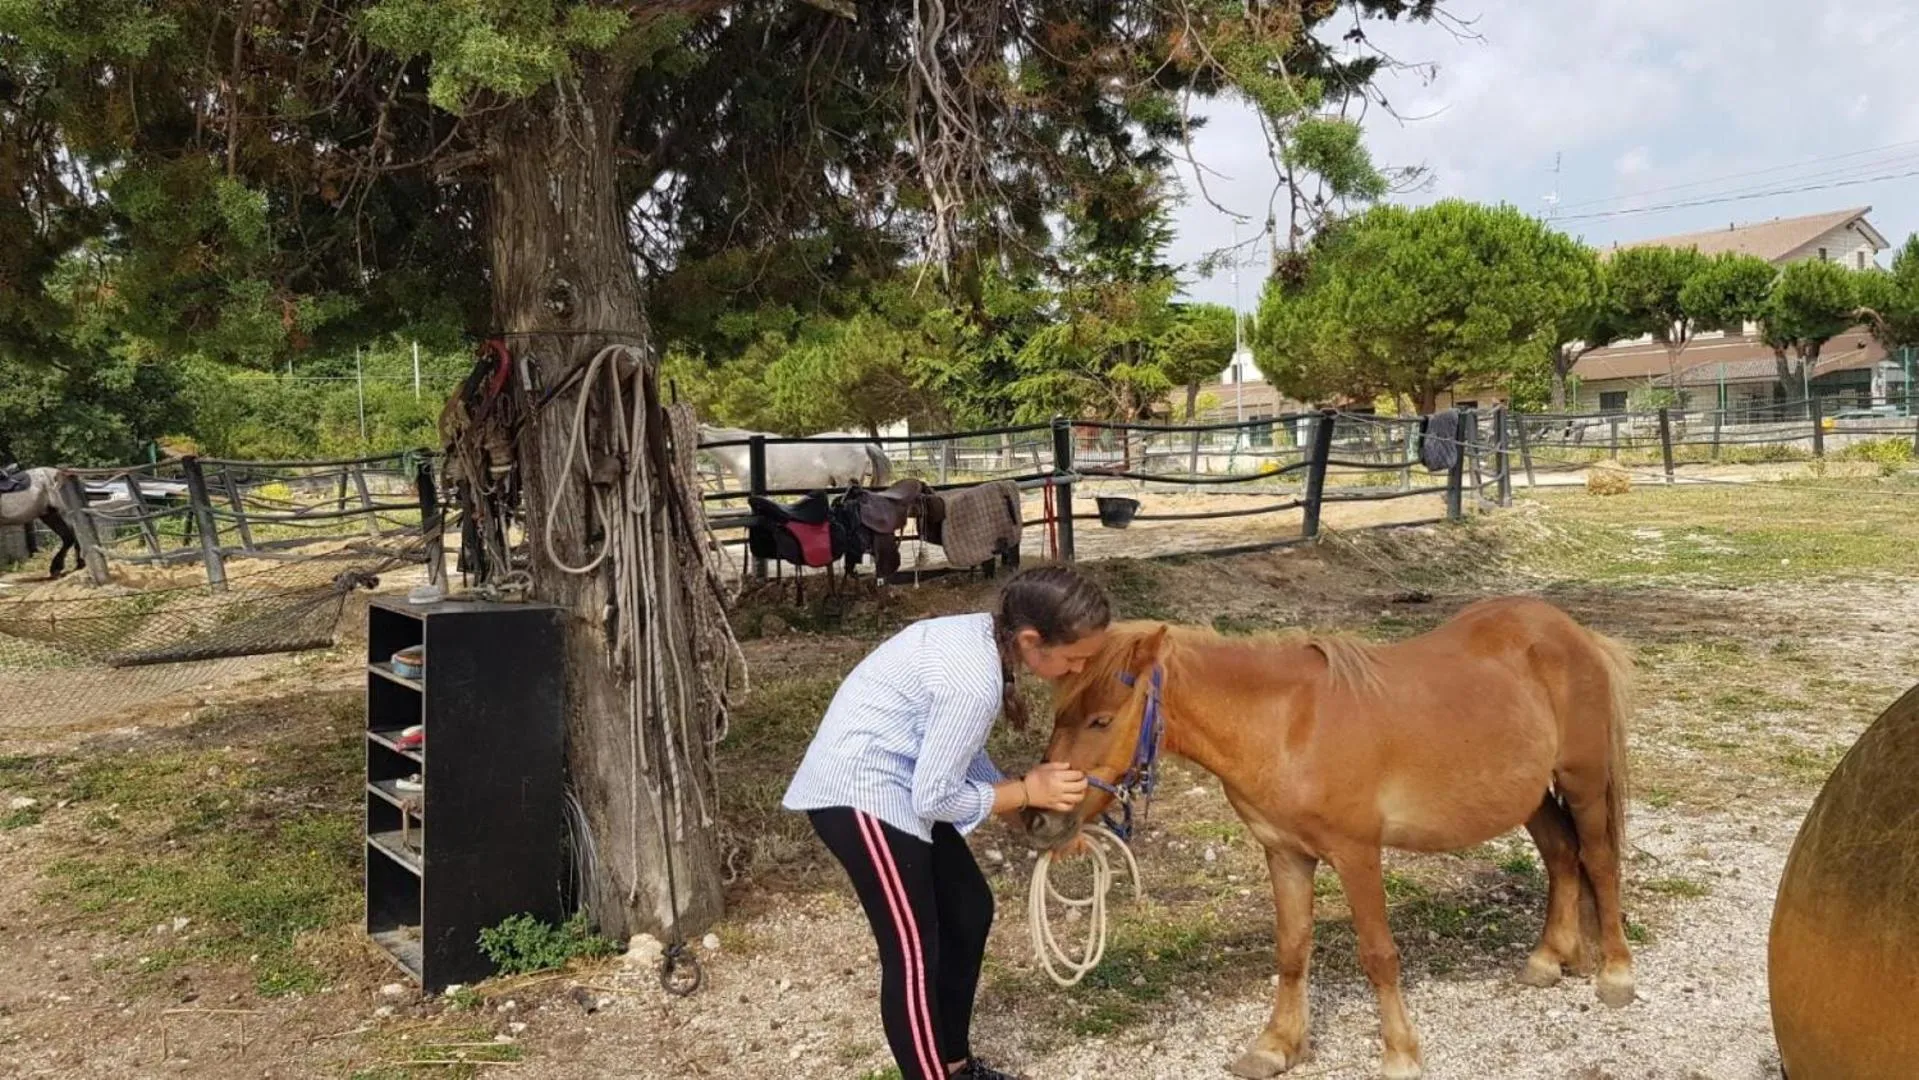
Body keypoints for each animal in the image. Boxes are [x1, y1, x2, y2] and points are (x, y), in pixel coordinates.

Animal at [1029, 597, 1635, 1079]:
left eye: (1102, 720)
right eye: (1060, 714)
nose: (1038, 819)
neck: (1287, 727)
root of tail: (1571, 631)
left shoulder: (1356, 854)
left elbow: (1379, 955)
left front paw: (1400, 1054)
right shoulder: (1286, 854)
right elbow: (1293, 949)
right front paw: (1276, 1046)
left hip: (1581, 783)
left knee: (1599, 861)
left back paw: (1615, 973)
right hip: (1529, 794)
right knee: (1562, 856)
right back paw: (1549, 958)